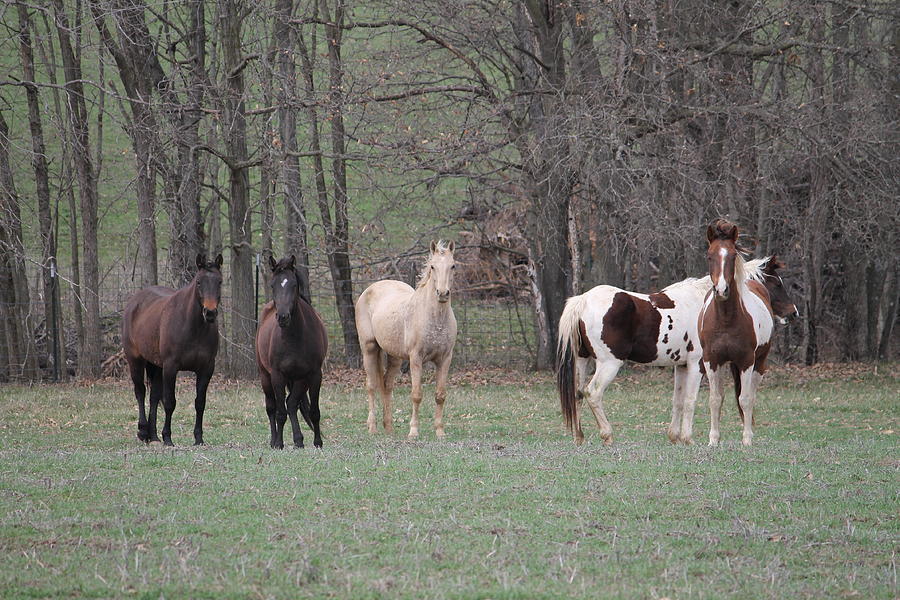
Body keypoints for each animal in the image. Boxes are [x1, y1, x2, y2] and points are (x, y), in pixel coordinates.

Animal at [123, 253, 223, 446]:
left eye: (220, 281)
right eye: (199, 282)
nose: (210, 313)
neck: (193, 326)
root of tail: (135, 301)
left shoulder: (206, 369)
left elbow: (200, 403)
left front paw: (198, 438)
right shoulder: (171, 367)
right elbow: (170, 402)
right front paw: (168, 437)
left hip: (156, 365)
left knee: (154, 396)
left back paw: (153, 436)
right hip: (135, 360)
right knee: (140, 392)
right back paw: (143, 431)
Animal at [255, 255, 328, 448]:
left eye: (294, 284)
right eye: (273, 285)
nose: (282, 317)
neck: (294, 338)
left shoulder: (314, 374)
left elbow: (313, 411)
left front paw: (317, 442)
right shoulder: (277, 375)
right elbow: (280, 413)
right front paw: (279, 443)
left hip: (300, 380)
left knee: (292, 404)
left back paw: (298, 440)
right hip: (265, 376)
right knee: (272, 407)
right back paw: (274, 440)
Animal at [356, 241, 460, 438]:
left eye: (453, 266)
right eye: (433, 266)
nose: (442, 293)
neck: (434, 317)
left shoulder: (445, 359)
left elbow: (440, 395)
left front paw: (440, 431)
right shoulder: (416, 358)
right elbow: (416, 395)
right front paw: (413, 431)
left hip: (395, 356)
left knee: (387, 385)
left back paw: (389, 428)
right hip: (369, 349)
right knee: (371, 385)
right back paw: (372, 427)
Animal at [560, 253, 800, 446]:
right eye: (777, 284)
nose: (793, 313)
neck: (708, 306)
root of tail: (583, 300)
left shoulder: (681, 366)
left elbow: (678, 400)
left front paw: (675, 437)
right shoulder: (697, 365)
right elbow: (690, 400)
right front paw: (688, 438)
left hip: (583, 360)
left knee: (578, 393)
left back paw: (579, 437)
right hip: (609, 364)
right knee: (593, 393)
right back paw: (607, 435)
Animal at [696, 219, 780, 446]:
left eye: (733, 256)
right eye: (709, 255)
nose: (721, 290)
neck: (726, 320)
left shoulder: (746, 361)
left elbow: (745, 398)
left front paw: (747, 439)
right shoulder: (712, 361)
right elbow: (715, 399)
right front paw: (713, 440)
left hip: (759, 363)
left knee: (750, 394)